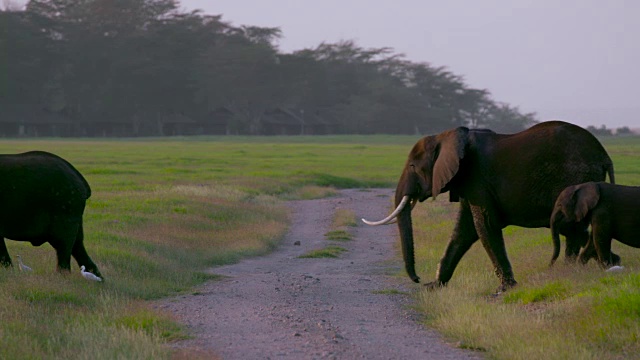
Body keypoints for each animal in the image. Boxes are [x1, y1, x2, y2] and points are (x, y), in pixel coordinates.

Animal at [362, 121, 612, 292]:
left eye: (413, 166)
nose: (417, 280)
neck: (448, 136)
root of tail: (604, 155)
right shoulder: (467, 181)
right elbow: (464, 230)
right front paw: (434, 286)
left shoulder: (476, 177)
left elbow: (484, 226)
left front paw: (505, 289)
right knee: (574, 230)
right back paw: (575, 268)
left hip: (575, 178)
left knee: (572, 229)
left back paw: (570, 269)